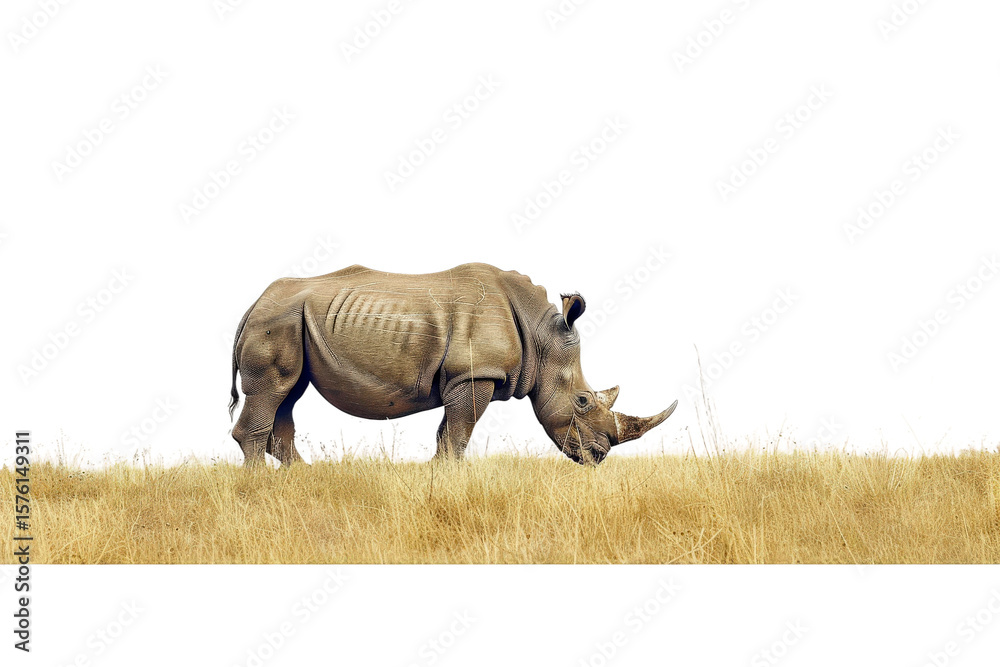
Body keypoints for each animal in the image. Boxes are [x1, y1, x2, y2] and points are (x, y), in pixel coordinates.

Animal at [229, 263, 676, 466]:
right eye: (583, 401)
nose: (598, 457)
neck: (541, 334)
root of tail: (253, 303)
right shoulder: (475, 374)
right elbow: (461, 430)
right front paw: (448, 475)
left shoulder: (464, 376)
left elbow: (448, 431)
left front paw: (438, 473)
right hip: (278, 320)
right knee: (273, 390)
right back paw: (262, 486)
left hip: (289, 318)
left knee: (288, 394)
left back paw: (305, 477)